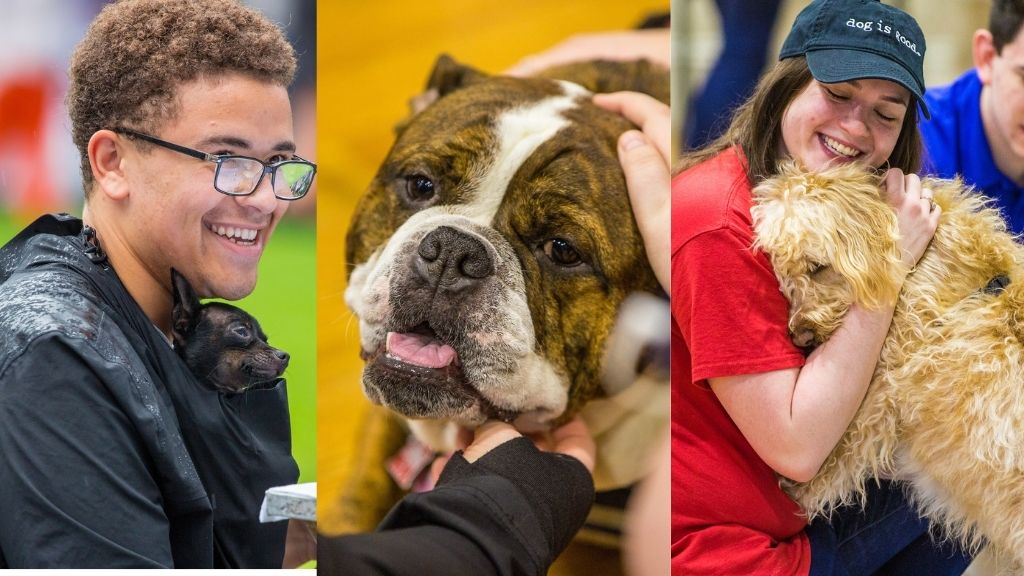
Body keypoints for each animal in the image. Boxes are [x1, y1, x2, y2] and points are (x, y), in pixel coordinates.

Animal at [753, 162, 1024, 573]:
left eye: (817, 268)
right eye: (782, 272)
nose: (800, 336)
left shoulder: (882, 389)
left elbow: (838, 459)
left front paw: (794, 493)